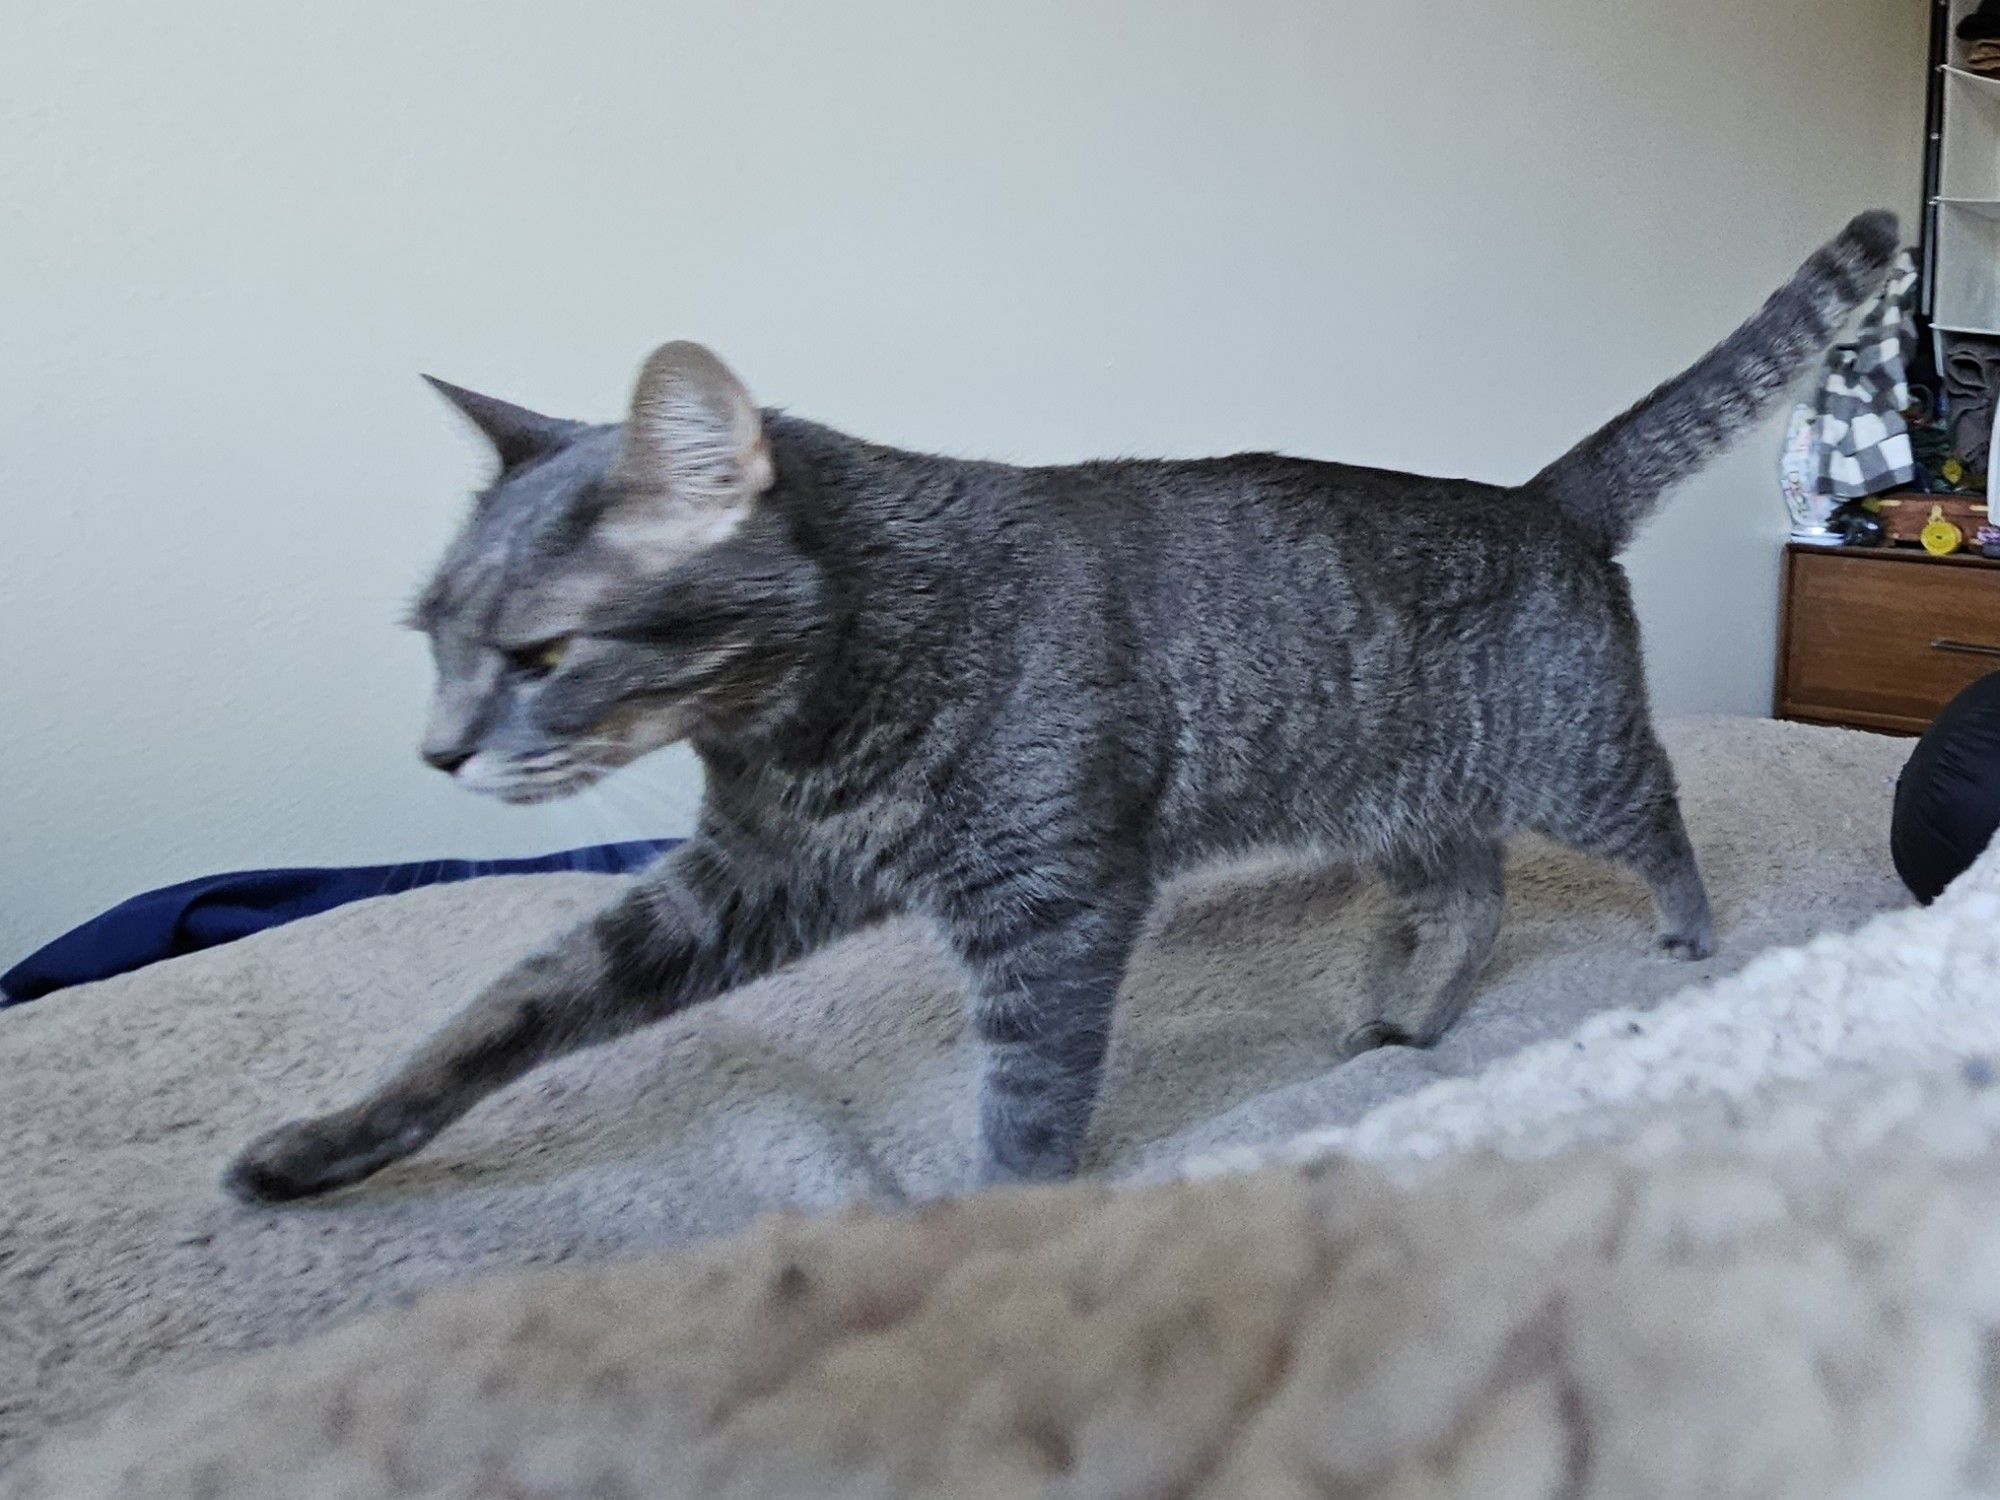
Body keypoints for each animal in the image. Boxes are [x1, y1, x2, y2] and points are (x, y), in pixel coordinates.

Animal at [227, 212, 1896, 1208]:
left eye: (540, 652)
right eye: (434, 640)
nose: (439, 748)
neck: (814, 724)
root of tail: (1543, 498)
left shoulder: (1055, 907)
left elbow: (1027, 1106)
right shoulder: (742, 882)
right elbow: (503, 1012)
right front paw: (325, 1146)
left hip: (1571, 759)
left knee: (1661, 823)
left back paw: (1686, 940)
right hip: (1400, 803)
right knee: (1472, 895)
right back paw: (1411, 1014)